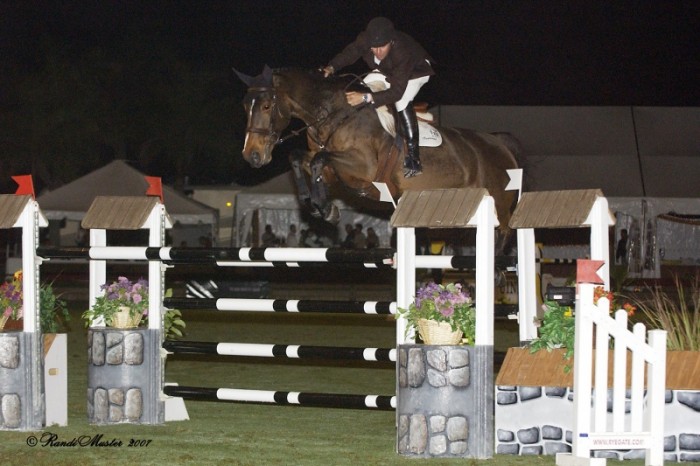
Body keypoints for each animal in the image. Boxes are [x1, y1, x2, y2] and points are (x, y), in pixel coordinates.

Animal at [235, 65, 520, 251]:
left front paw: (326, 209)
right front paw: (316, 205)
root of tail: (501, 145)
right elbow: (301, 158)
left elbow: (319, 159)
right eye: (244, 106)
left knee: (505, 231)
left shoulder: (364, 168)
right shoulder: (333, 170)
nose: (252, 156)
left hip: (497, 206)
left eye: (266, 106)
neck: (333, 115)